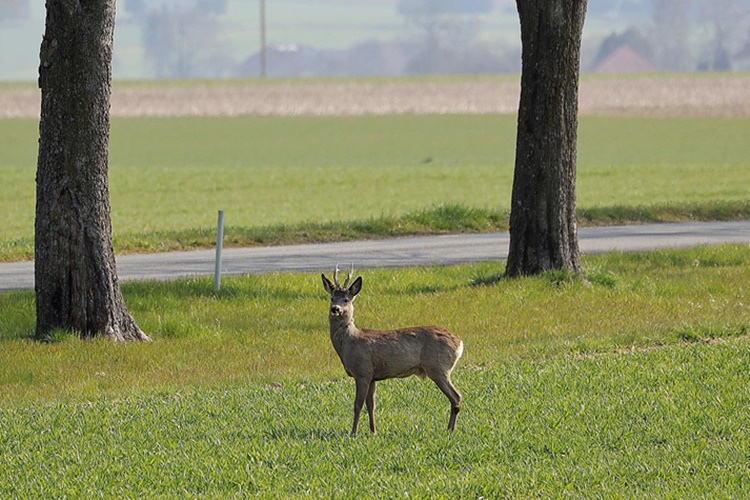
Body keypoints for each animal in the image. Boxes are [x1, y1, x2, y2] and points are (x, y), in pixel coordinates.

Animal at [324, 266, 464, 434]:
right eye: (331, 298)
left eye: (346, 299)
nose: (335, 309)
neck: (349, 343)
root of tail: (459, 343)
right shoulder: (372, 376)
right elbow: (371, 405)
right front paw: (373, 431)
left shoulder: (362, 371)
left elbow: (357, 405)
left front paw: (353, 433)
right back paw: (450, 429)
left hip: (438, 367)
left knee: (456, 396)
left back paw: (450, 430)